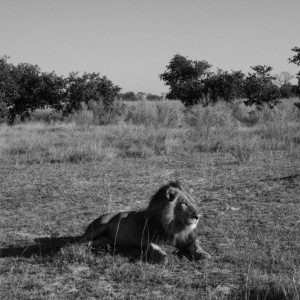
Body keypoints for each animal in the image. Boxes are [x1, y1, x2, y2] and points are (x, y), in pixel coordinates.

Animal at [79, 180, 211, 262]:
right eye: (184, 203)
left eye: (193, 202)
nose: (198, 216)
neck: (175, 226)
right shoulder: (149, 240)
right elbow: (156, 249)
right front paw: (164, 256)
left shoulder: (187, 240)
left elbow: (197, 246)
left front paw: (204, 254)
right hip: (99, 227)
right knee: (83, 241)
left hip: (107, 237)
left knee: (94, 243)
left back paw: (107, 247)